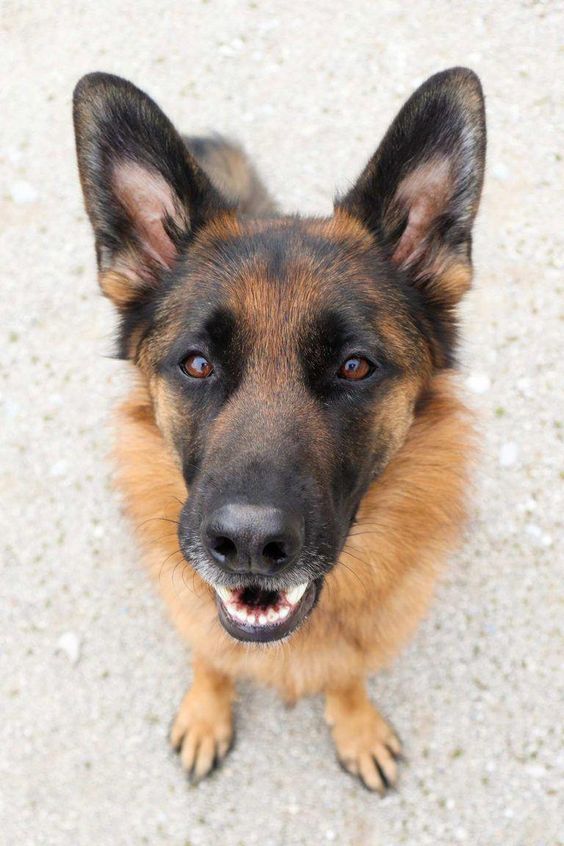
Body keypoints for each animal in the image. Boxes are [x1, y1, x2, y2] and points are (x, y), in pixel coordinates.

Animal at [74, 68, 484, 796]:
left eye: (354, 366)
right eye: (197, 363)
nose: (248, 545)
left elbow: (345, 674)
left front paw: (356, 725)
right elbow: (211, 657)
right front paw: (206, 712)